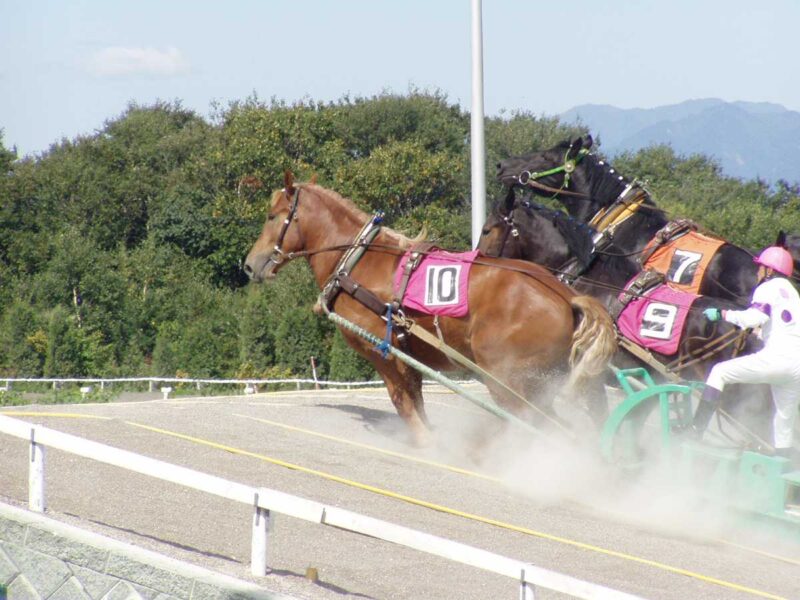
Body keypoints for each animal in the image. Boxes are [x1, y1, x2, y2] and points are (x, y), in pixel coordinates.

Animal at [244, 173, 620, 446]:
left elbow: (403, 401)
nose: (250, 264)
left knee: (537, 422)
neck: (360, 261)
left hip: (507, 376)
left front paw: (425, 441)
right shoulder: (408, 354)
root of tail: (564, 296)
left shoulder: (384, 352)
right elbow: (416, 398)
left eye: (272, 216)